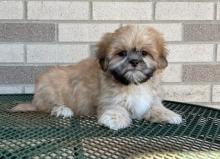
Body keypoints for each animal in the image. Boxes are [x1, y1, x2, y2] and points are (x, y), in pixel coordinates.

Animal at [10, 24, 182, 129]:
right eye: (122, 53)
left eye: (144, 53)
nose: (134, 61)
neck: (133, 84)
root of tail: (35, 99)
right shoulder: (110, 98)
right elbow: (116, 107)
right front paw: (114, 119)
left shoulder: (151, 98)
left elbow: (155, 106)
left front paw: (169, 114)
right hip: (49, 86)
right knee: (48, 105)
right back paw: (62, 109)